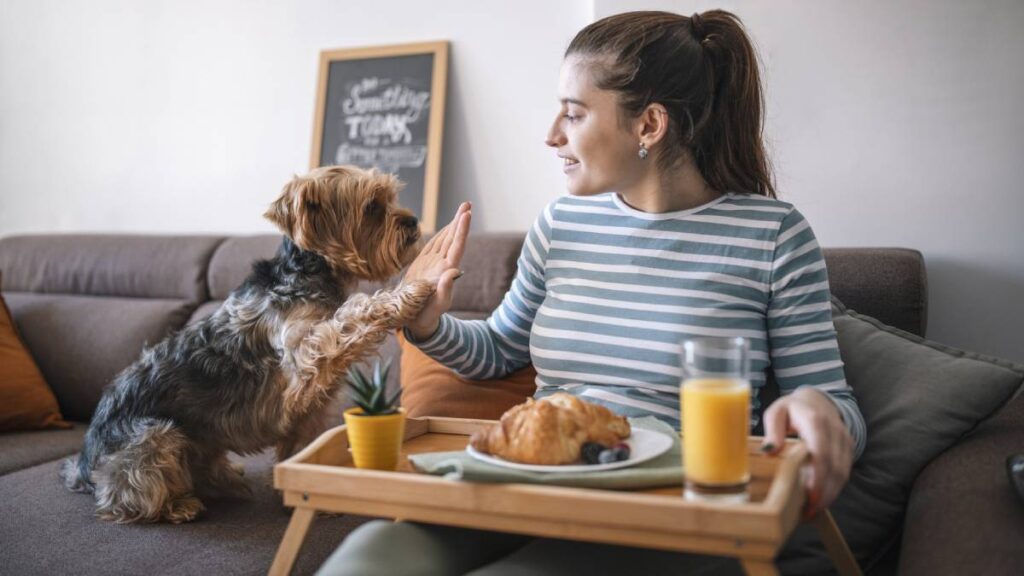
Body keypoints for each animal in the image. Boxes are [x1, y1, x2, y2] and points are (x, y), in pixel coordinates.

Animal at [58, 165, 436, 520]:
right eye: (372, 206)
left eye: (391, 197)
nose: (414, 222)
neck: (307, 274)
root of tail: (83, 463)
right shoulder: (305, 355)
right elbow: (354, 313)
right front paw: (408, 293)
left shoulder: (312, 405)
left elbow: (305, 444)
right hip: (154, 436)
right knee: (126, 496)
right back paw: (177, 505)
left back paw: (227, 479)